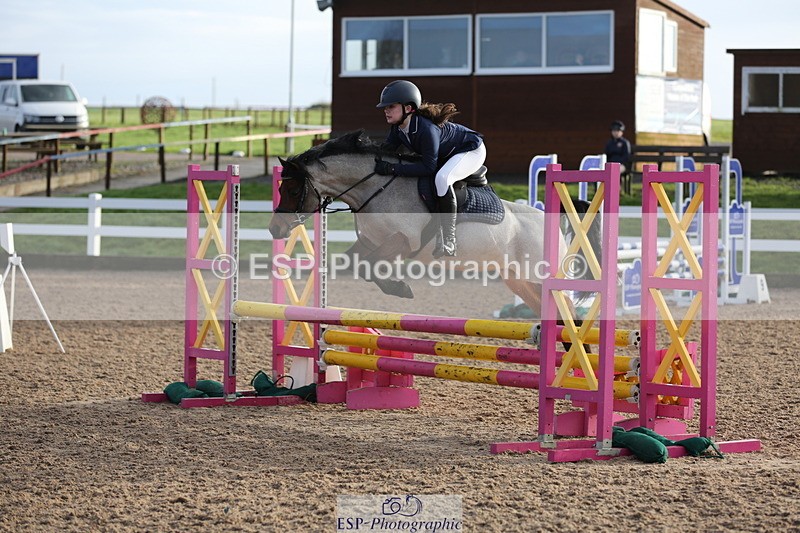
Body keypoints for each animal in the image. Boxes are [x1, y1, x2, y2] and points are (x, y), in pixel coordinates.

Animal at [268, 130, 601, 319]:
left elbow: (371, 266)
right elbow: (355, 264)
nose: (275, 229)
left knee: (568, 312)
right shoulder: (369, 241)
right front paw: (397, 287)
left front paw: (401, 288)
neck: (376, 187)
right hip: (519, 280)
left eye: (294, 190)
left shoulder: (403, 241)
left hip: (541, 278)